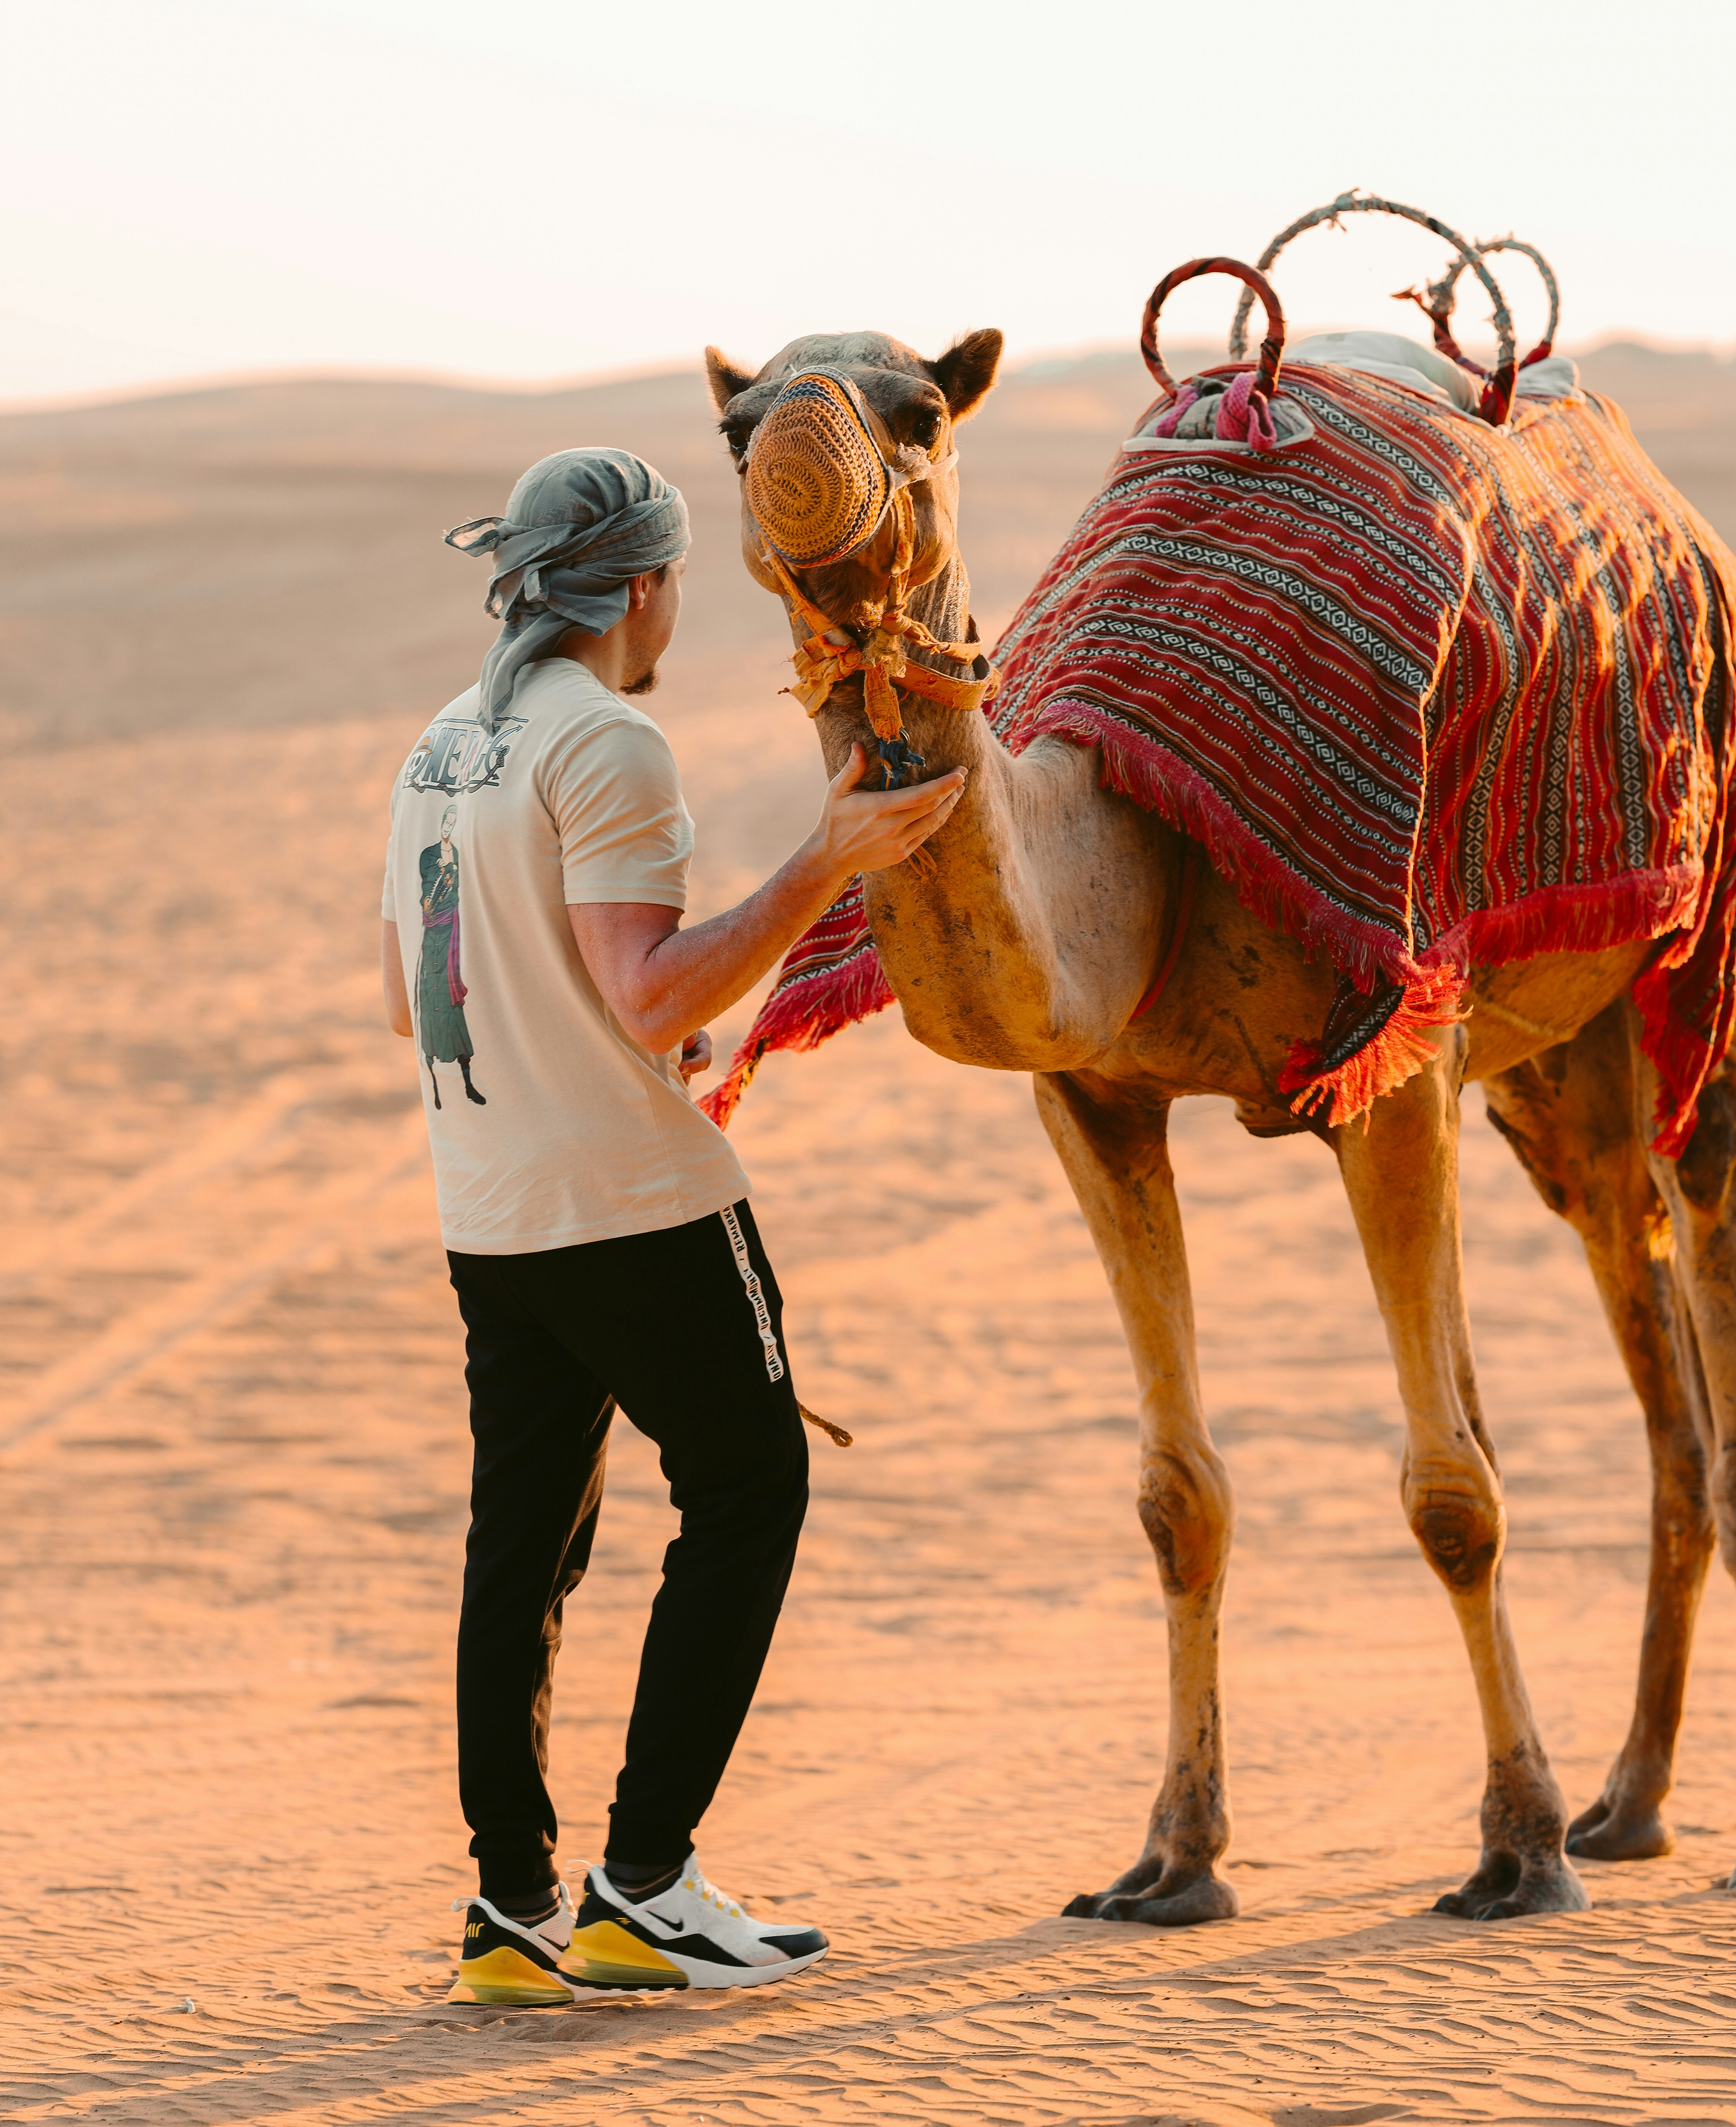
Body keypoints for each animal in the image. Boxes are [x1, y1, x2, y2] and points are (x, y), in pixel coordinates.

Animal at [702, 319, 1736, 1931]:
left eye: (921, 408)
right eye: (734, 427)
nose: (802, 460)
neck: (1132, 849)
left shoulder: (1398, 1050)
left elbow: (1452, 1492)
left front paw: (1517, 1847)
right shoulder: (1095, 1095)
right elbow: (1178, 1495)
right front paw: (1171, 1856)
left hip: (1694, 960)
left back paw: (1609, 1812)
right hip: (1559, 1071)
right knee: (1640, 1328)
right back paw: (1630, 1802)